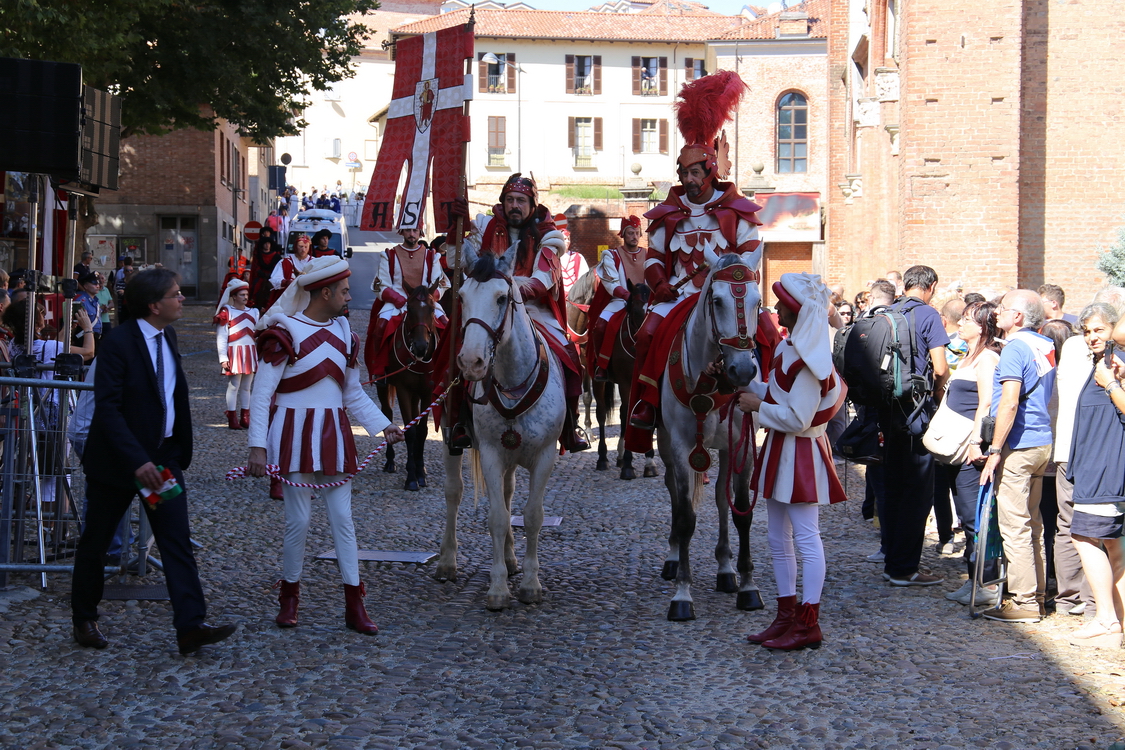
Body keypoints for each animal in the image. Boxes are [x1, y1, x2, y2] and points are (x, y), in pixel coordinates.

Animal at [434, 250, 567, 611]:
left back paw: (510, 559)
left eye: (501, 298)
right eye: (461, 297)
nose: (471, 362)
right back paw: (447, 562)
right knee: (454, 492)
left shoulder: (545, 456)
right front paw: (497, 589)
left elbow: (531, 515)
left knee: (508, 494)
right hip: (452, 439)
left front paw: (530, 585)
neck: (511, 381)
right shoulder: (492, 454)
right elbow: (497, 517)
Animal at [589, 281, 657, 481]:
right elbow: (627, 415)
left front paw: (649, 461)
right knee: (602, 413)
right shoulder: (627, 383)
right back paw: (603, 458)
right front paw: (628, 465)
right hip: (597, 380)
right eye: (635, 309)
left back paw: (619, 455)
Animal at [657, 251, 765, 620]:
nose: (743, 371)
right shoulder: (680, 446)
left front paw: (747, 586)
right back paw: (673, 557)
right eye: (716, 301)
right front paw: (682, 594)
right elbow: (685, 516)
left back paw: (725, 569)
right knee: (675, 494)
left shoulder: (742, 446)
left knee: (720, 497)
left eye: (758, 302)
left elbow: (740, 511)